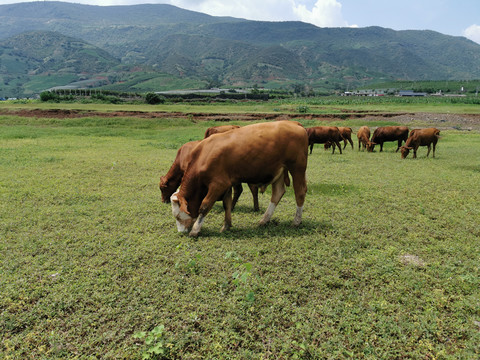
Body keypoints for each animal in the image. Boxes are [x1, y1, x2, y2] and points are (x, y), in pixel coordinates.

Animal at [171, 121, 310, 238]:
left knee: (300, 192)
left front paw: (195, 230)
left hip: (297, 168)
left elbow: (205, 206)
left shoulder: (218, 185)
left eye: (177, 216)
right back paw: (264, 220)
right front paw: (226, 226)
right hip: (279, 171)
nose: (181, 232)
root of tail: (294, 123)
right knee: (278, 193)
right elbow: (226, 204)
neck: (205, 155)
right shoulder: (226, 185)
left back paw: (296, 221)